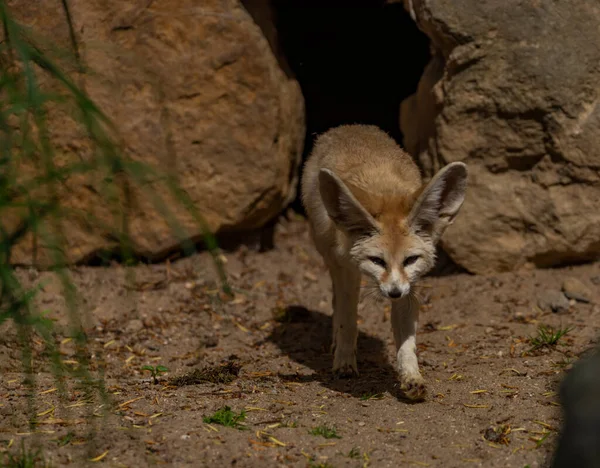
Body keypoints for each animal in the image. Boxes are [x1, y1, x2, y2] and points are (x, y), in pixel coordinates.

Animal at [302, 124, 466, 398]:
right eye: (377, 260)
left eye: (411, 259)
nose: (394, 292)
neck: (385, 189)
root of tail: (349, 126)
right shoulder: (348, 270)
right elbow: (347, 318)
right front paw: (344, 362)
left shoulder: (410, 285)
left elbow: (406, 342)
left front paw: (411, 376)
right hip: (331, 257)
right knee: (338, 302)